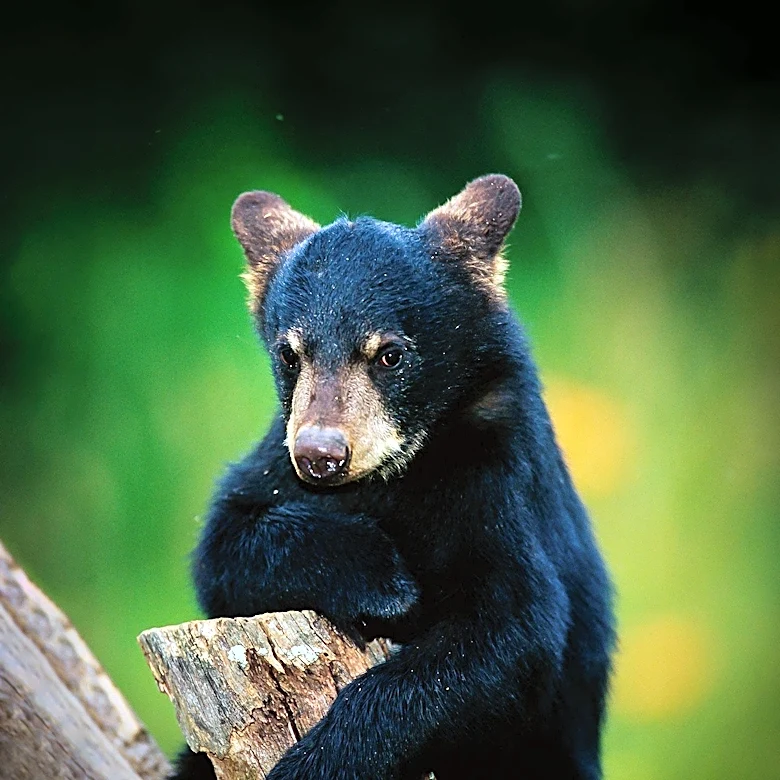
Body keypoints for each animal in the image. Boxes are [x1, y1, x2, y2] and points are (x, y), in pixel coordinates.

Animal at [170, 174, 616, 780]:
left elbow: (512, 629)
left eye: (389, 354)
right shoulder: (271, 465)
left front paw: (314, 762)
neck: (395, 473)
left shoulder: (498, 482)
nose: (321, 454)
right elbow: (223, 547)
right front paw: (381, 580)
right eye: (290, 355)